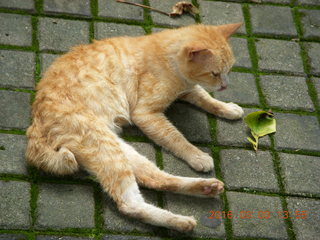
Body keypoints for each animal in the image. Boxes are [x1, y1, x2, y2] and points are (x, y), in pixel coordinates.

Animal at [26, 23, 242, 232]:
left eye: (229, 70)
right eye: (214, 73)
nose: (225, 86)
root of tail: (35, 120)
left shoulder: (188, 90)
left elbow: (206, 98)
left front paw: (228, 109)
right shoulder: (145, 114)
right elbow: (176, 138)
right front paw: (197, 156)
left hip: (118, 148)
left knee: (154, 178)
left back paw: (205, 188)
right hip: (106, 147)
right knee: (130, 204)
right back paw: (181, 221)